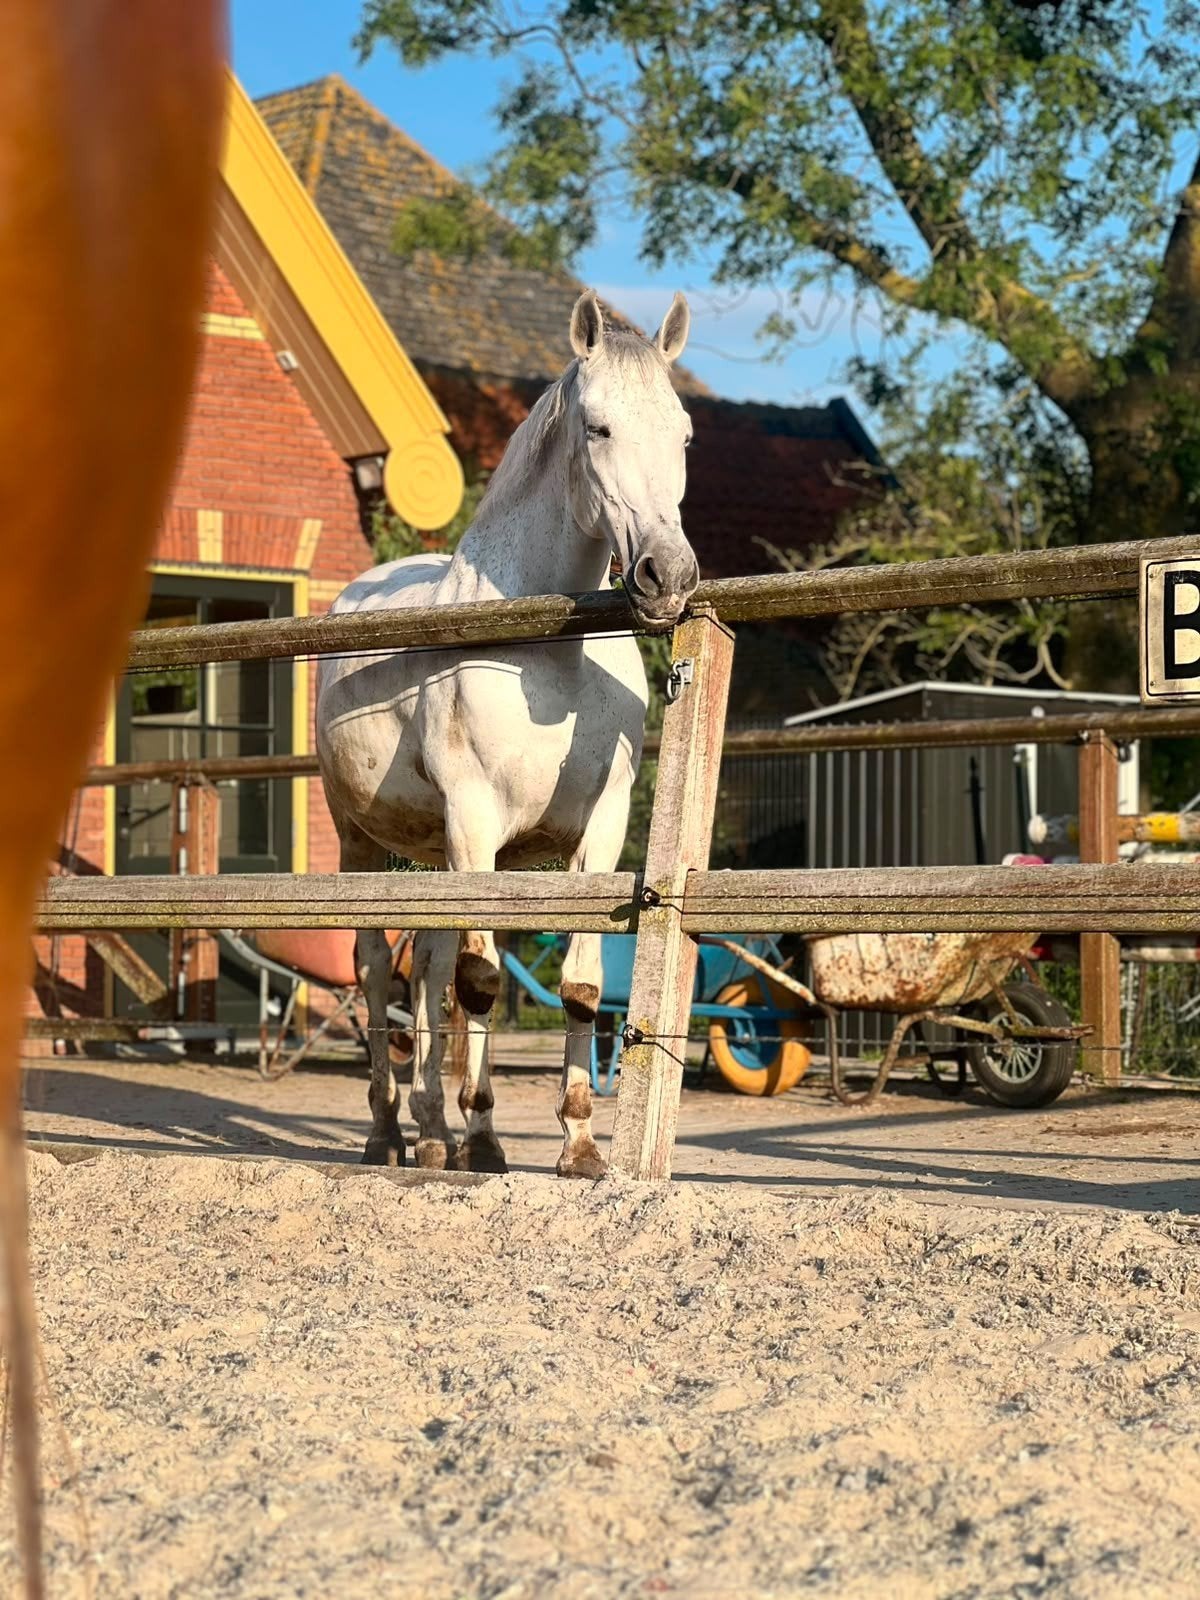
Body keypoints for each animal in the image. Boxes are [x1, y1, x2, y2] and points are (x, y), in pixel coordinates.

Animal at [316, 289, 700, 1178]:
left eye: (684, 433)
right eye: (598, 427)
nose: (667, 576)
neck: (543, 654)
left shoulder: (599, 829)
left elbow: (580, 987)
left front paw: (581, 1146)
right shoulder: (475, 821)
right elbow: (482, 984)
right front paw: (487, 1139)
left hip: (434, 857)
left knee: (425, 965)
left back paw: (431, 1132)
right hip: (361, 840)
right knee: (377, 968)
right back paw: (389, 1132)